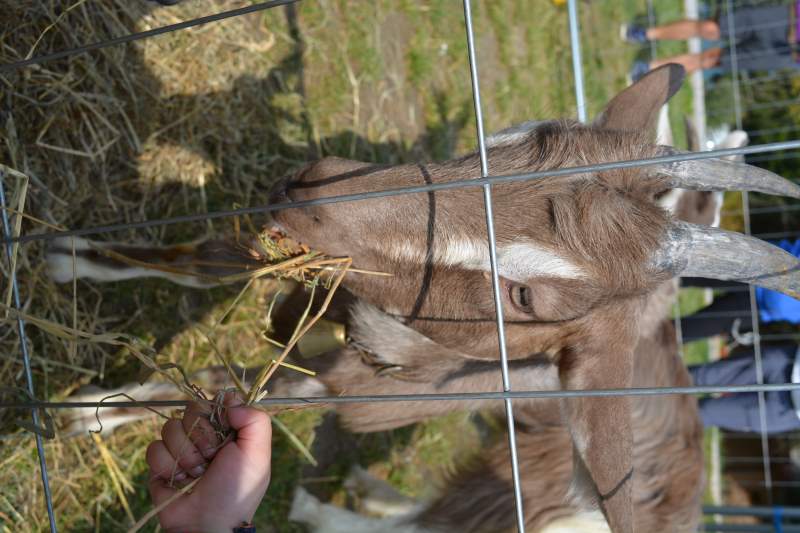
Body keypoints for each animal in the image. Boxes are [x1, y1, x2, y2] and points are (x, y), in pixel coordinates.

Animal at [46, 64, 800, 532]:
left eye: (526, 295)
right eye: (520, 136)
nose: (308, 191)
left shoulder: (358, 389)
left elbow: (248, 387)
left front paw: (87, 414)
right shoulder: (331, 284)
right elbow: (206, 268)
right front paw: (69, 256)